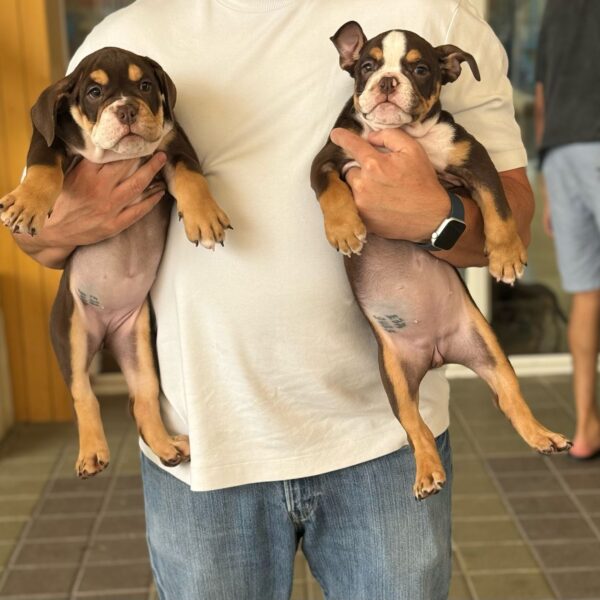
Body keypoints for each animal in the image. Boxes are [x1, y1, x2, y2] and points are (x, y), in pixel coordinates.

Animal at [0, 47, 231, 478]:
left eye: (146, 86)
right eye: (94, 92)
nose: (125, 109)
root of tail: (105, 335)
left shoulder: (175, 146)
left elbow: (192, 177)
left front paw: (204, 215)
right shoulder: (48, 139)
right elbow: (42, 165)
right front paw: (27, 203)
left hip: (137, 342)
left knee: (141, 398)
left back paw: (167, 446)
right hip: (71, 333)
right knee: (83, 394)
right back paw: (92, 451)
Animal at [312, 23, 568, 500]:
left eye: (420, 69)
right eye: (367, 66)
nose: (387, 82)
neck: (407, 136)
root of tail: (436, 354)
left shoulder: (474, 162)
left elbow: (498, 206)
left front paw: (506, 255)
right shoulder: (326, 160)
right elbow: (332, 192)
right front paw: (343, 229)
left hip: (486, 346)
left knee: (508, 395)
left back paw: (542, 435)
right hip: (394, 373)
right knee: (415, 425)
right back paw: (427, 471)